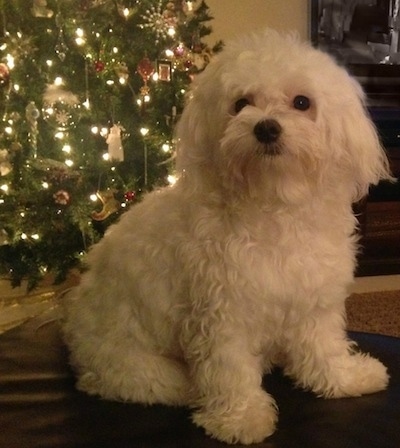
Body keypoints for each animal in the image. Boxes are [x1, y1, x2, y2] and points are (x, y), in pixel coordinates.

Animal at [63, 28, 394, 444]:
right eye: (240, 104)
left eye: (302, 102)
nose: (266, 127)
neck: (275, 203)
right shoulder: (222, 315)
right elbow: (230, 371)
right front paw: (242, 418)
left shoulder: (313, 301)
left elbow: (323, 348)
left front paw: (345, 378)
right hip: (140, 368)